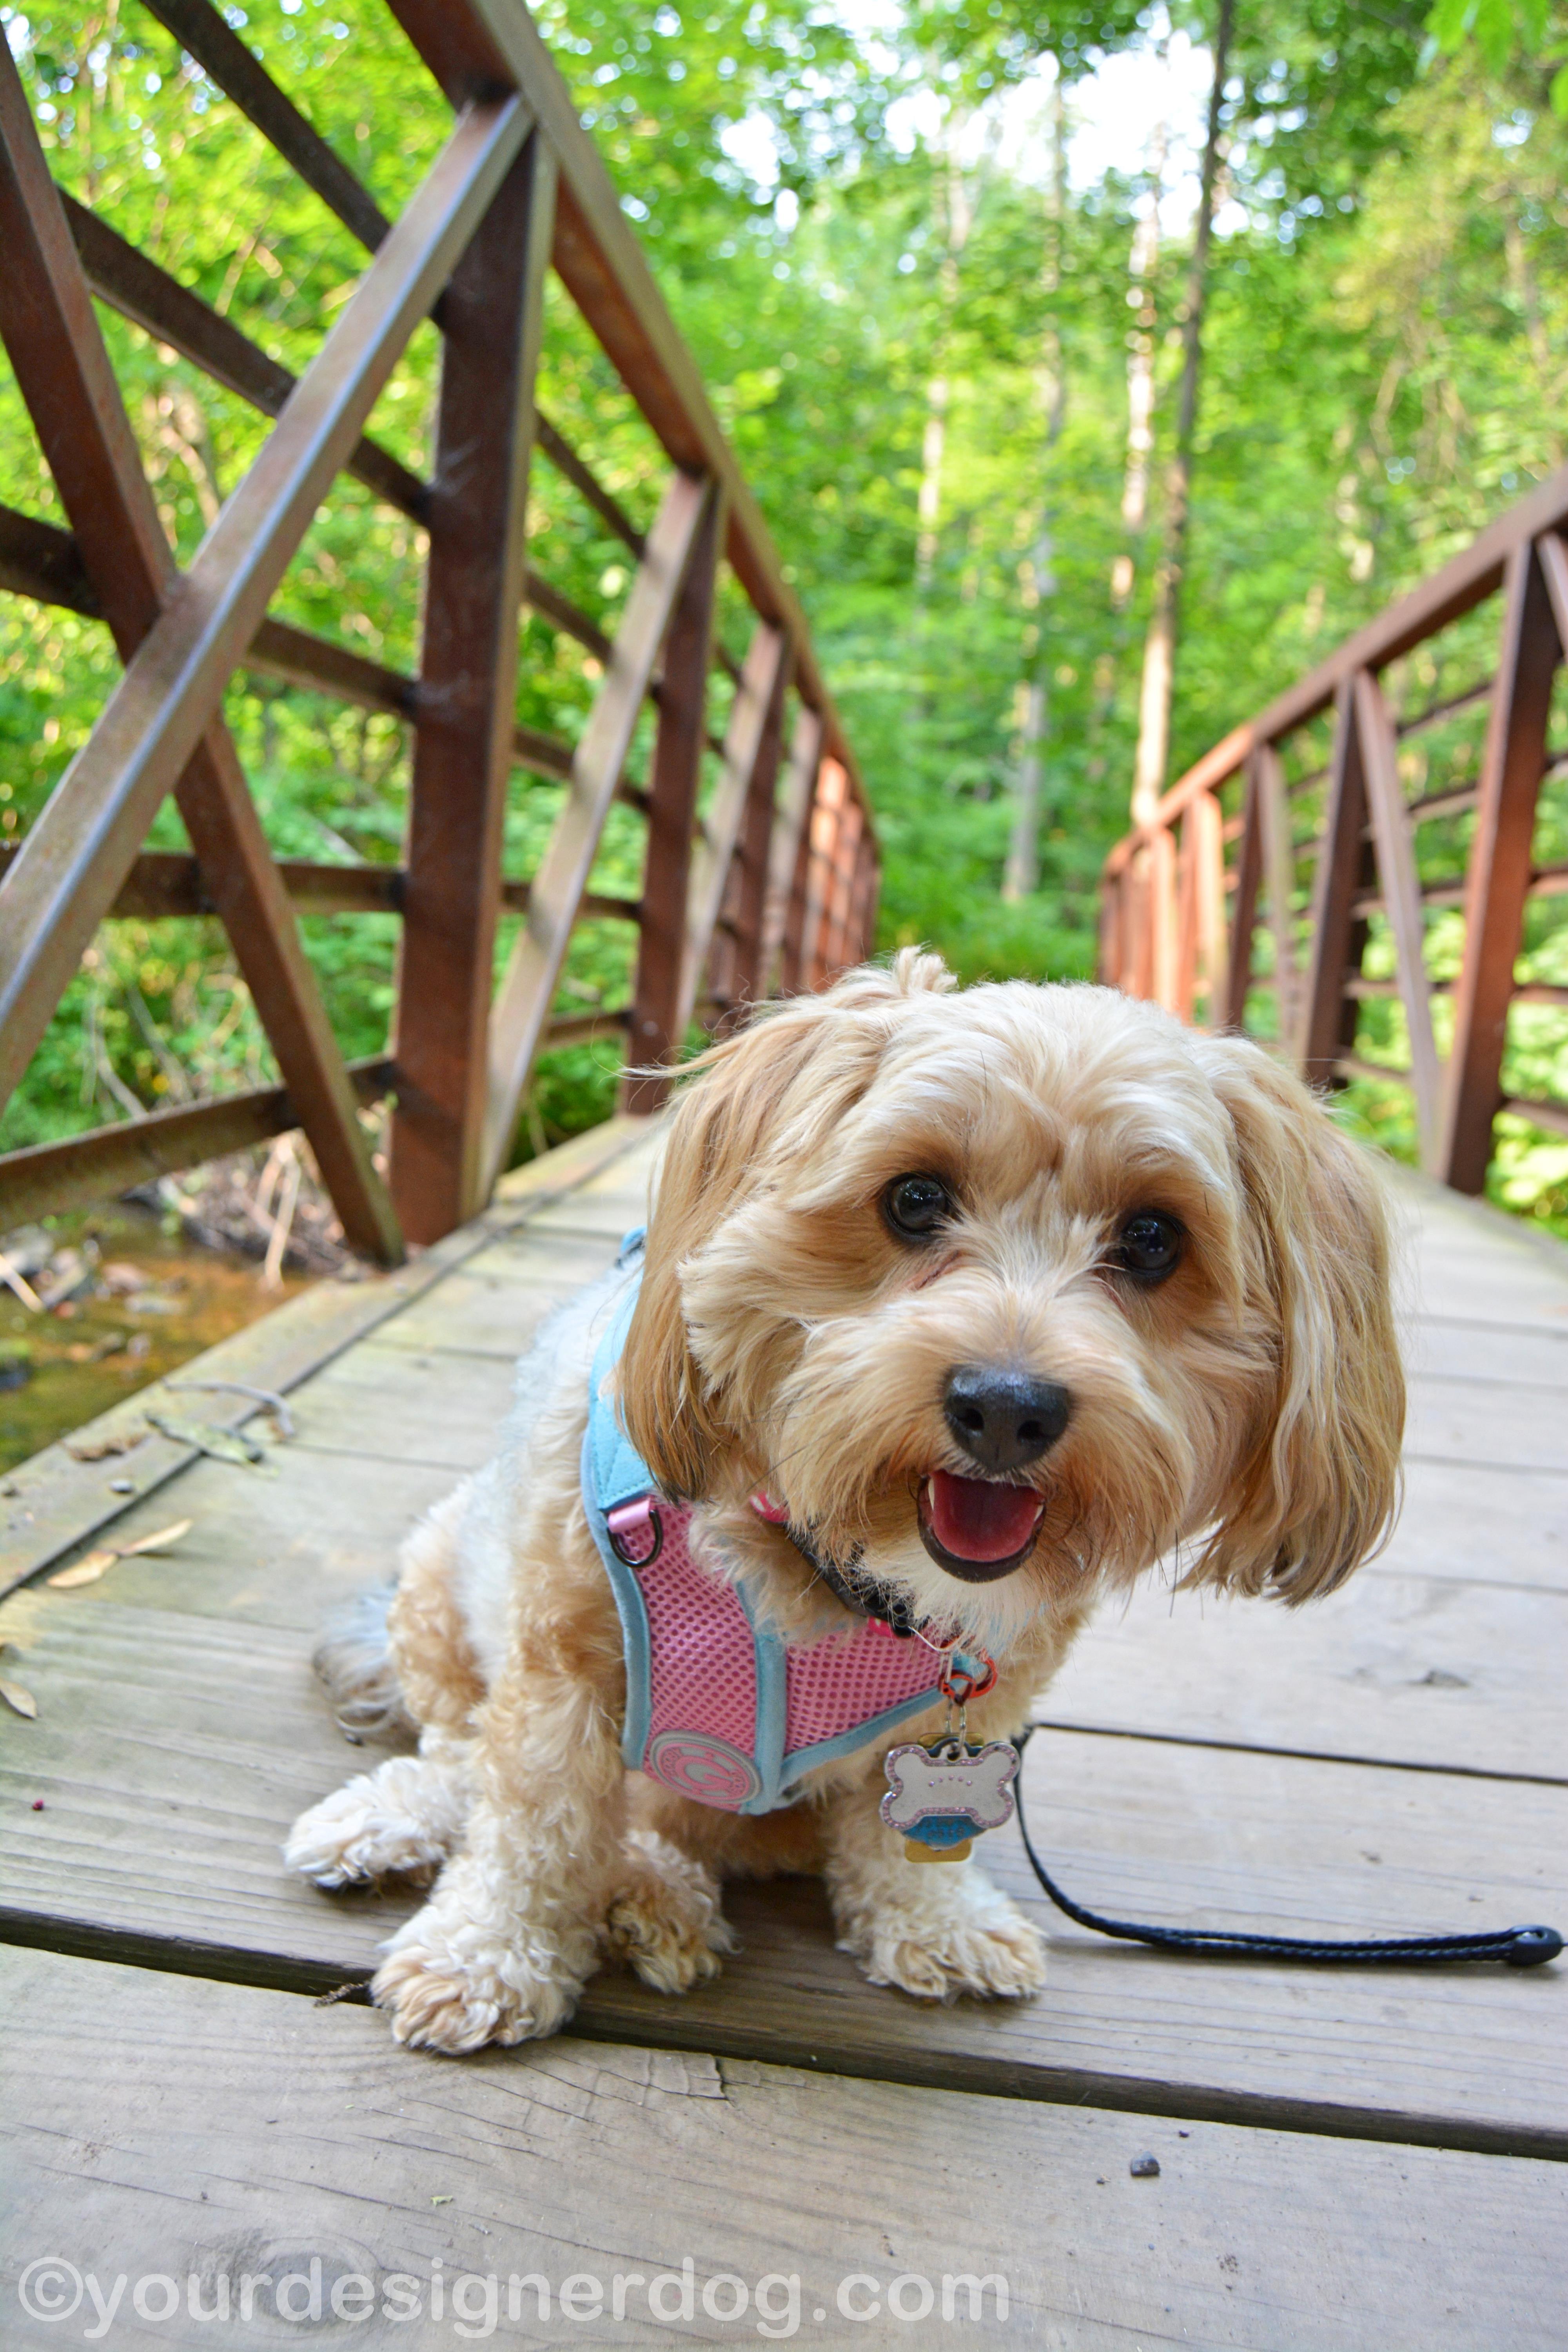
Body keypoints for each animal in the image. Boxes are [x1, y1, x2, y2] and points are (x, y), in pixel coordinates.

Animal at [288, 946, 1401, 2051]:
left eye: (1154, 1239)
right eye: (912, 1199)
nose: (1006, 1408)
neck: (830, 1568)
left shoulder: (968, 1714)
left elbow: (898, 1837)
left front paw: (934, 1923)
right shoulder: (561, 1664)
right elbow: (535, 1818)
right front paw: (488, 1954)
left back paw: (655, 1895)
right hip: (438, 1580)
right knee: (465, 1754)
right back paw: (413, 1829)